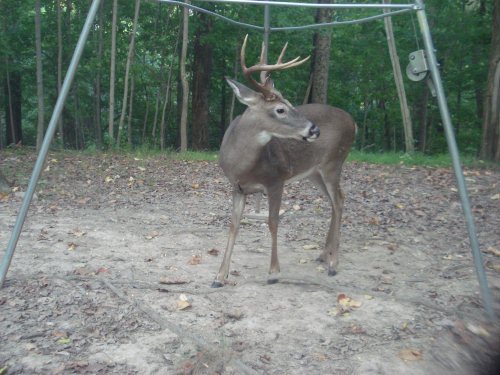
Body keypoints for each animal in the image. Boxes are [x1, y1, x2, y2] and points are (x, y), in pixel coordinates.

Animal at [213, 35, 358, 288]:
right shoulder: (237, 187)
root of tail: (354, 123)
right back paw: (324, 254)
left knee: (339, 200)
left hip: (334, 162)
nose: (314, 130)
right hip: (314, 172)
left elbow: (273, 222)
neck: (242, 165)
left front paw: (273, 272)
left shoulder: (276, 180)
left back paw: (333, 264)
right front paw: (220, 276)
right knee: (334, 201)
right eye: (280, 109)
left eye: (291, 103)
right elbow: (233, 225)